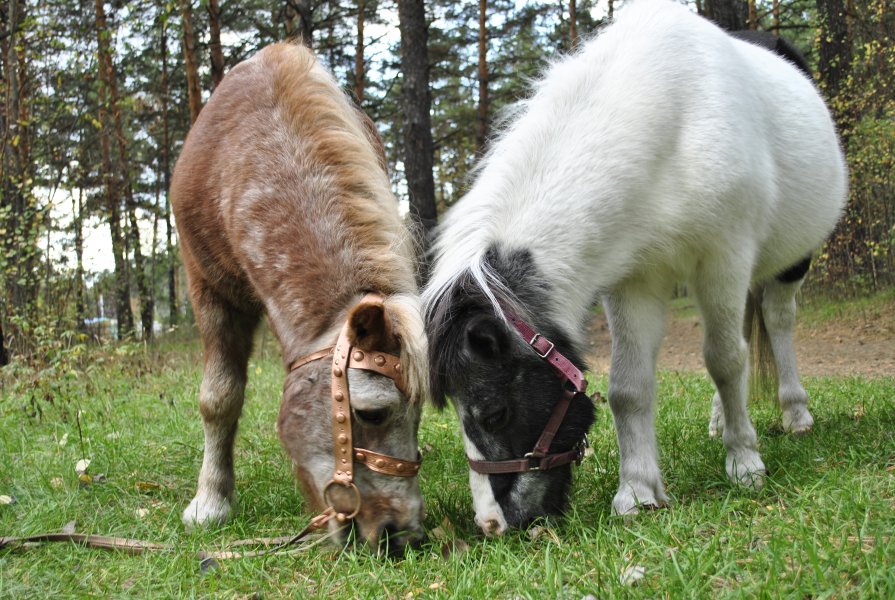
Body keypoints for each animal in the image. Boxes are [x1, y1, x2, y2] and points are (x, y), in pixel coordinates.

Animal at [426, 0, 848, 536]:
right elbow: (630, 387)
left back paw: (793, 414)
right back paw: (721, 422)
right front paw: (638, 491)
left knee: (775, 323)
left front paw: (745, 463)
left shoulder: (724, 258)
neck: (672, 123)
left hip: (788, 263)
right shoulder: (634, 281)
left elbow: (725, 360)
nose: (491, 524)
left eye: (494, 414)